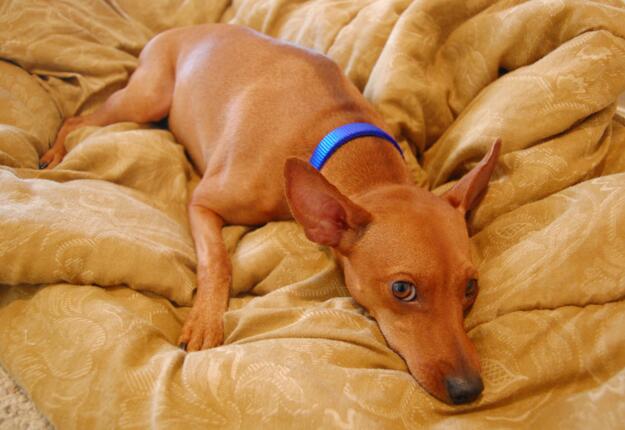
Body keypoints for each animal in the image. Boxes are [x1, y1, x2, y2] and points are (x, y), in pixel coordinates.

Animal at [40, 24, 500, 405]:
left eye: (470, 287)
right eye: (402, 290)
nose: (469, 391)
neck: (335, 134)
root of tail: (175, 30)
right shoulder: (200, 202)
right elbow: (218, 261)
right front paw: (205, 321)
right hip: (145, 100)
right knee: (78, 119)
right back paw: (54, 152)